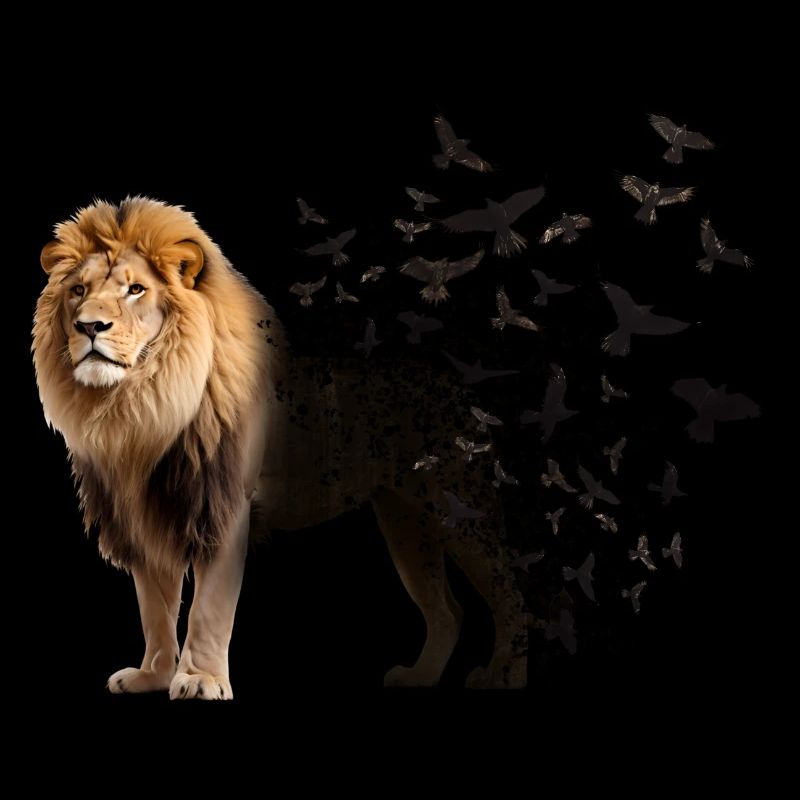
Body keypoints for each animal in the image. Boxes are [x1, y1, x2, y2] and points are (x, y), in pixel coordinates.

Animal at [32, 196, 529, 699]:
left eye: (135, 289)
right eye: (78, 290)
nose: (89, 325)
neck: (139, 406)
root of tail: (452, 383)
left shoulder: (225, 506)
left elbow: (208, 607)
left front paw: (201, 679)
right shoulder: (143, 513)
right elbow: (154, 607)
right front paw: (151, 675)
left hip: (461, 508)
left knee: (513, 592)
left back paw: (505, 674)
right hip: (405, 522)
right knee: (448, 611)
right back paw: (421, 676)